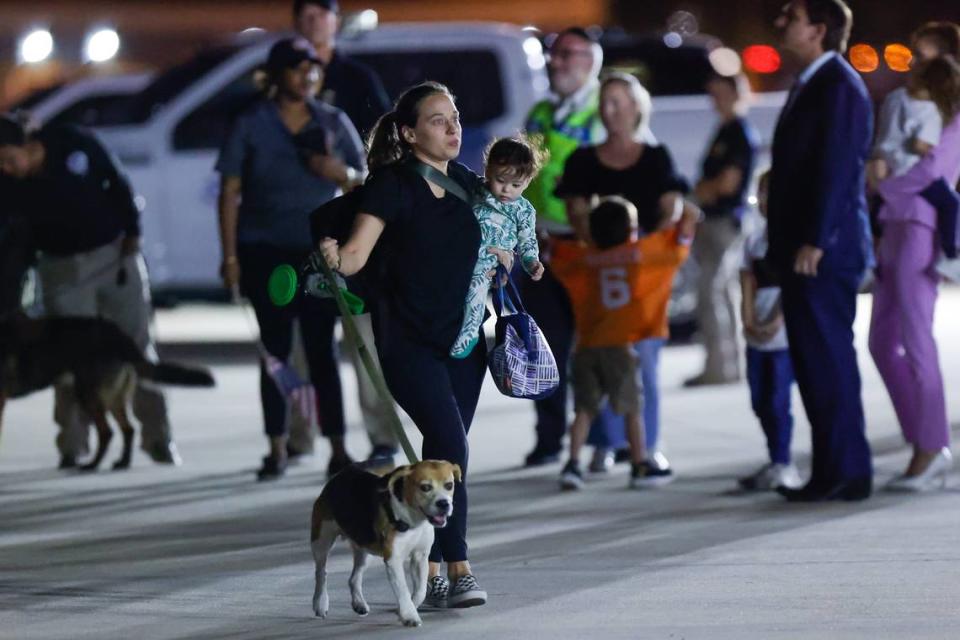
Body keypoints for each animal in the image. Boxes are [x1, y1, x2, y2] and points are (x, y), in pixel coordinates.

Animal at [1, 314, 216, 470]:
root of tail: (119, 335)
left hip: (88, 395)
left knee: (107, 432)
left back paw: (93, 465)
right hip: (112, 399)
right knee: (128, 429)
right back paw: (123, 463)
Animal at [308, 458, 458, 628]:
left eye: (449, 485)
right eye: (425, 487)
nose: (444, 504)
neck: (413, 519)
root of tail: (339, 476)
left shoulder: (420, 556)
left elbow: (420, 591)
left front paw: (404, 611)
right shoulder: (393, 559)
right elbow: (403, 590)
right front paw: (410, 616)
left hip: (364, 549)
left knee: (353, 578)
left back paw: (359, 604)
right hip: (321, 540)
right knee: (321, 573)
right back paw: (320, 603)